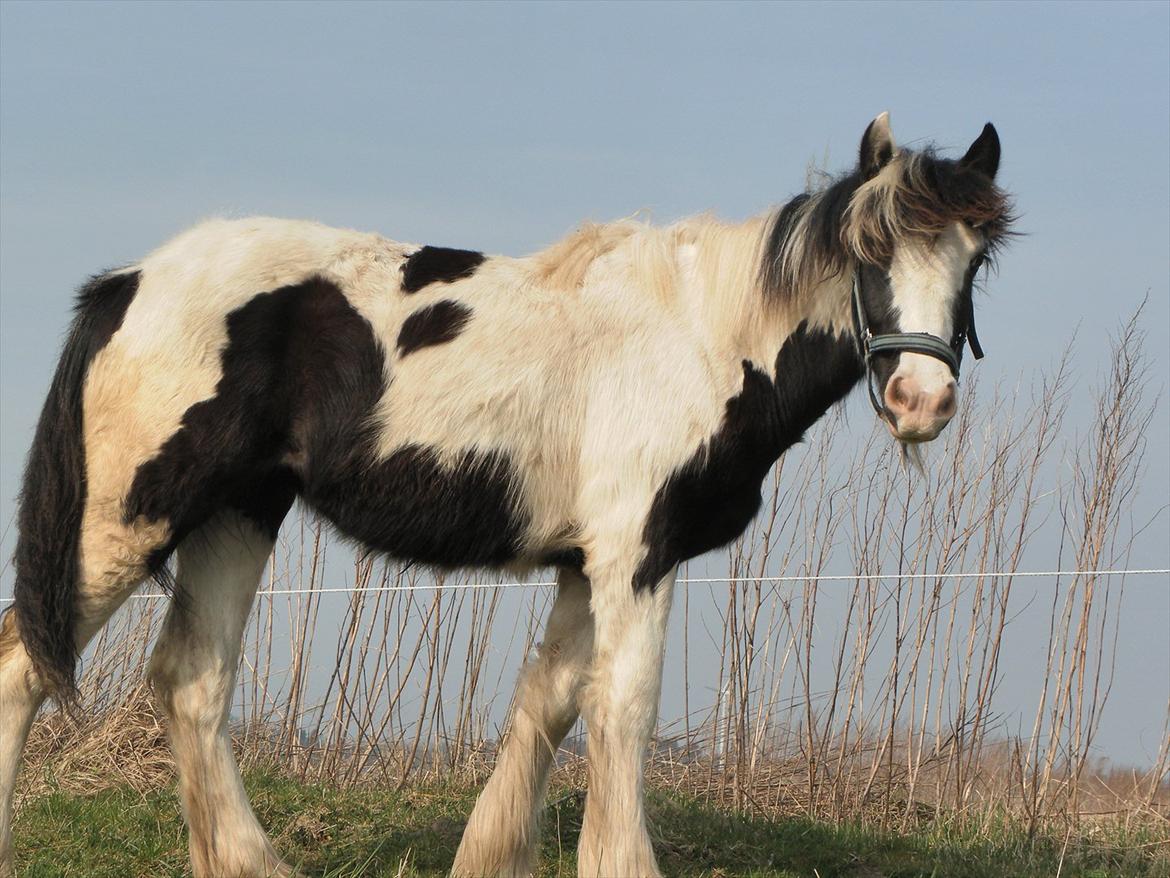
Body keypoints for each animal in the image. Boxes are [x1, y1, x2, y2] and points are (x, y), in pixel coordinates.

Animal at [0, 117, 1015, 878]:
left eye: (975, 258)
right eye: (871, 250)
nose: (921, 403)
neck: (701, 338)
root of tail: (131, 282)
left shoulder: (581, 563)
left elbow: (552, 700)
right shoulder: (635, 553)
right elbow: (623, 706)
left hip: (238, 514)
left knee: (192, 680)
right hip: (125, 521)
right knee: (23, 664)